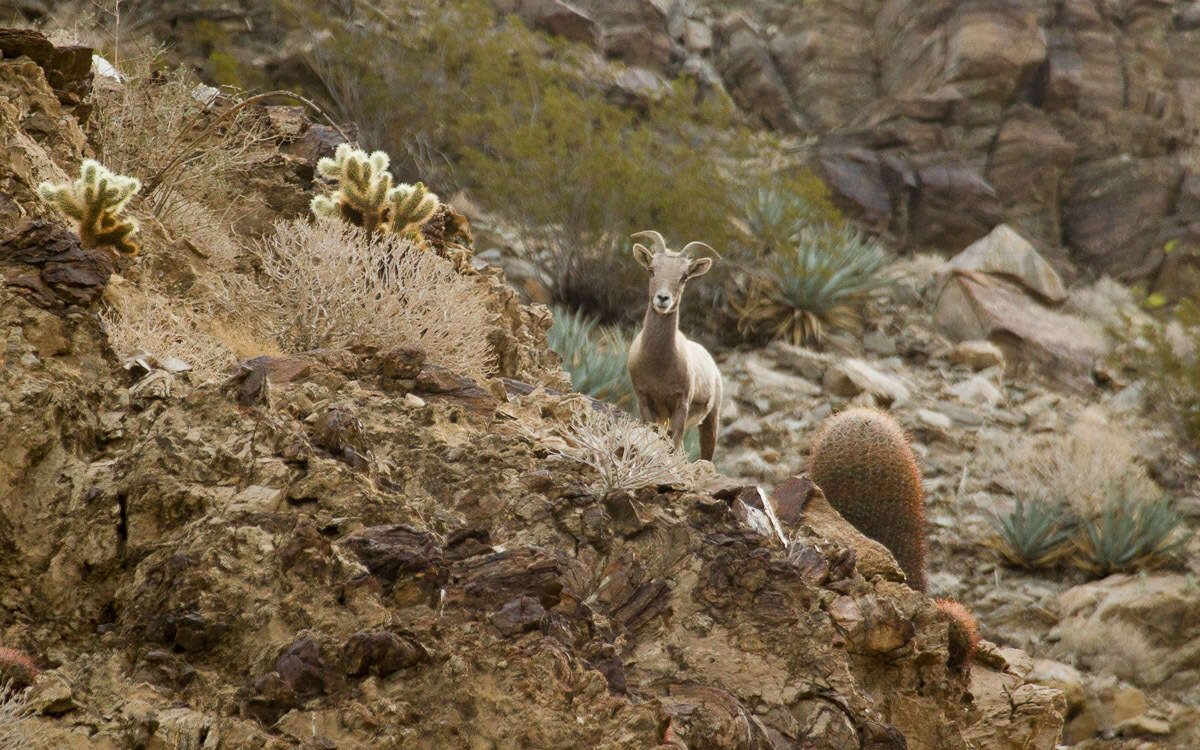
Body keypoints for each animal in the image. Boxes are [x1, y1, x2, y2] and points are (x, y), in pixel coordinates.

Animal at [628, 229, 720, 463]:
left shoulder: (681, 405)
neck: (659, 365)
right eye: (651, 270)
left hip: (710, 421)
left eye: (684, 276)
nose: (663, 299)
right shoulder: (645, 401)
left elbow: (674, 446)